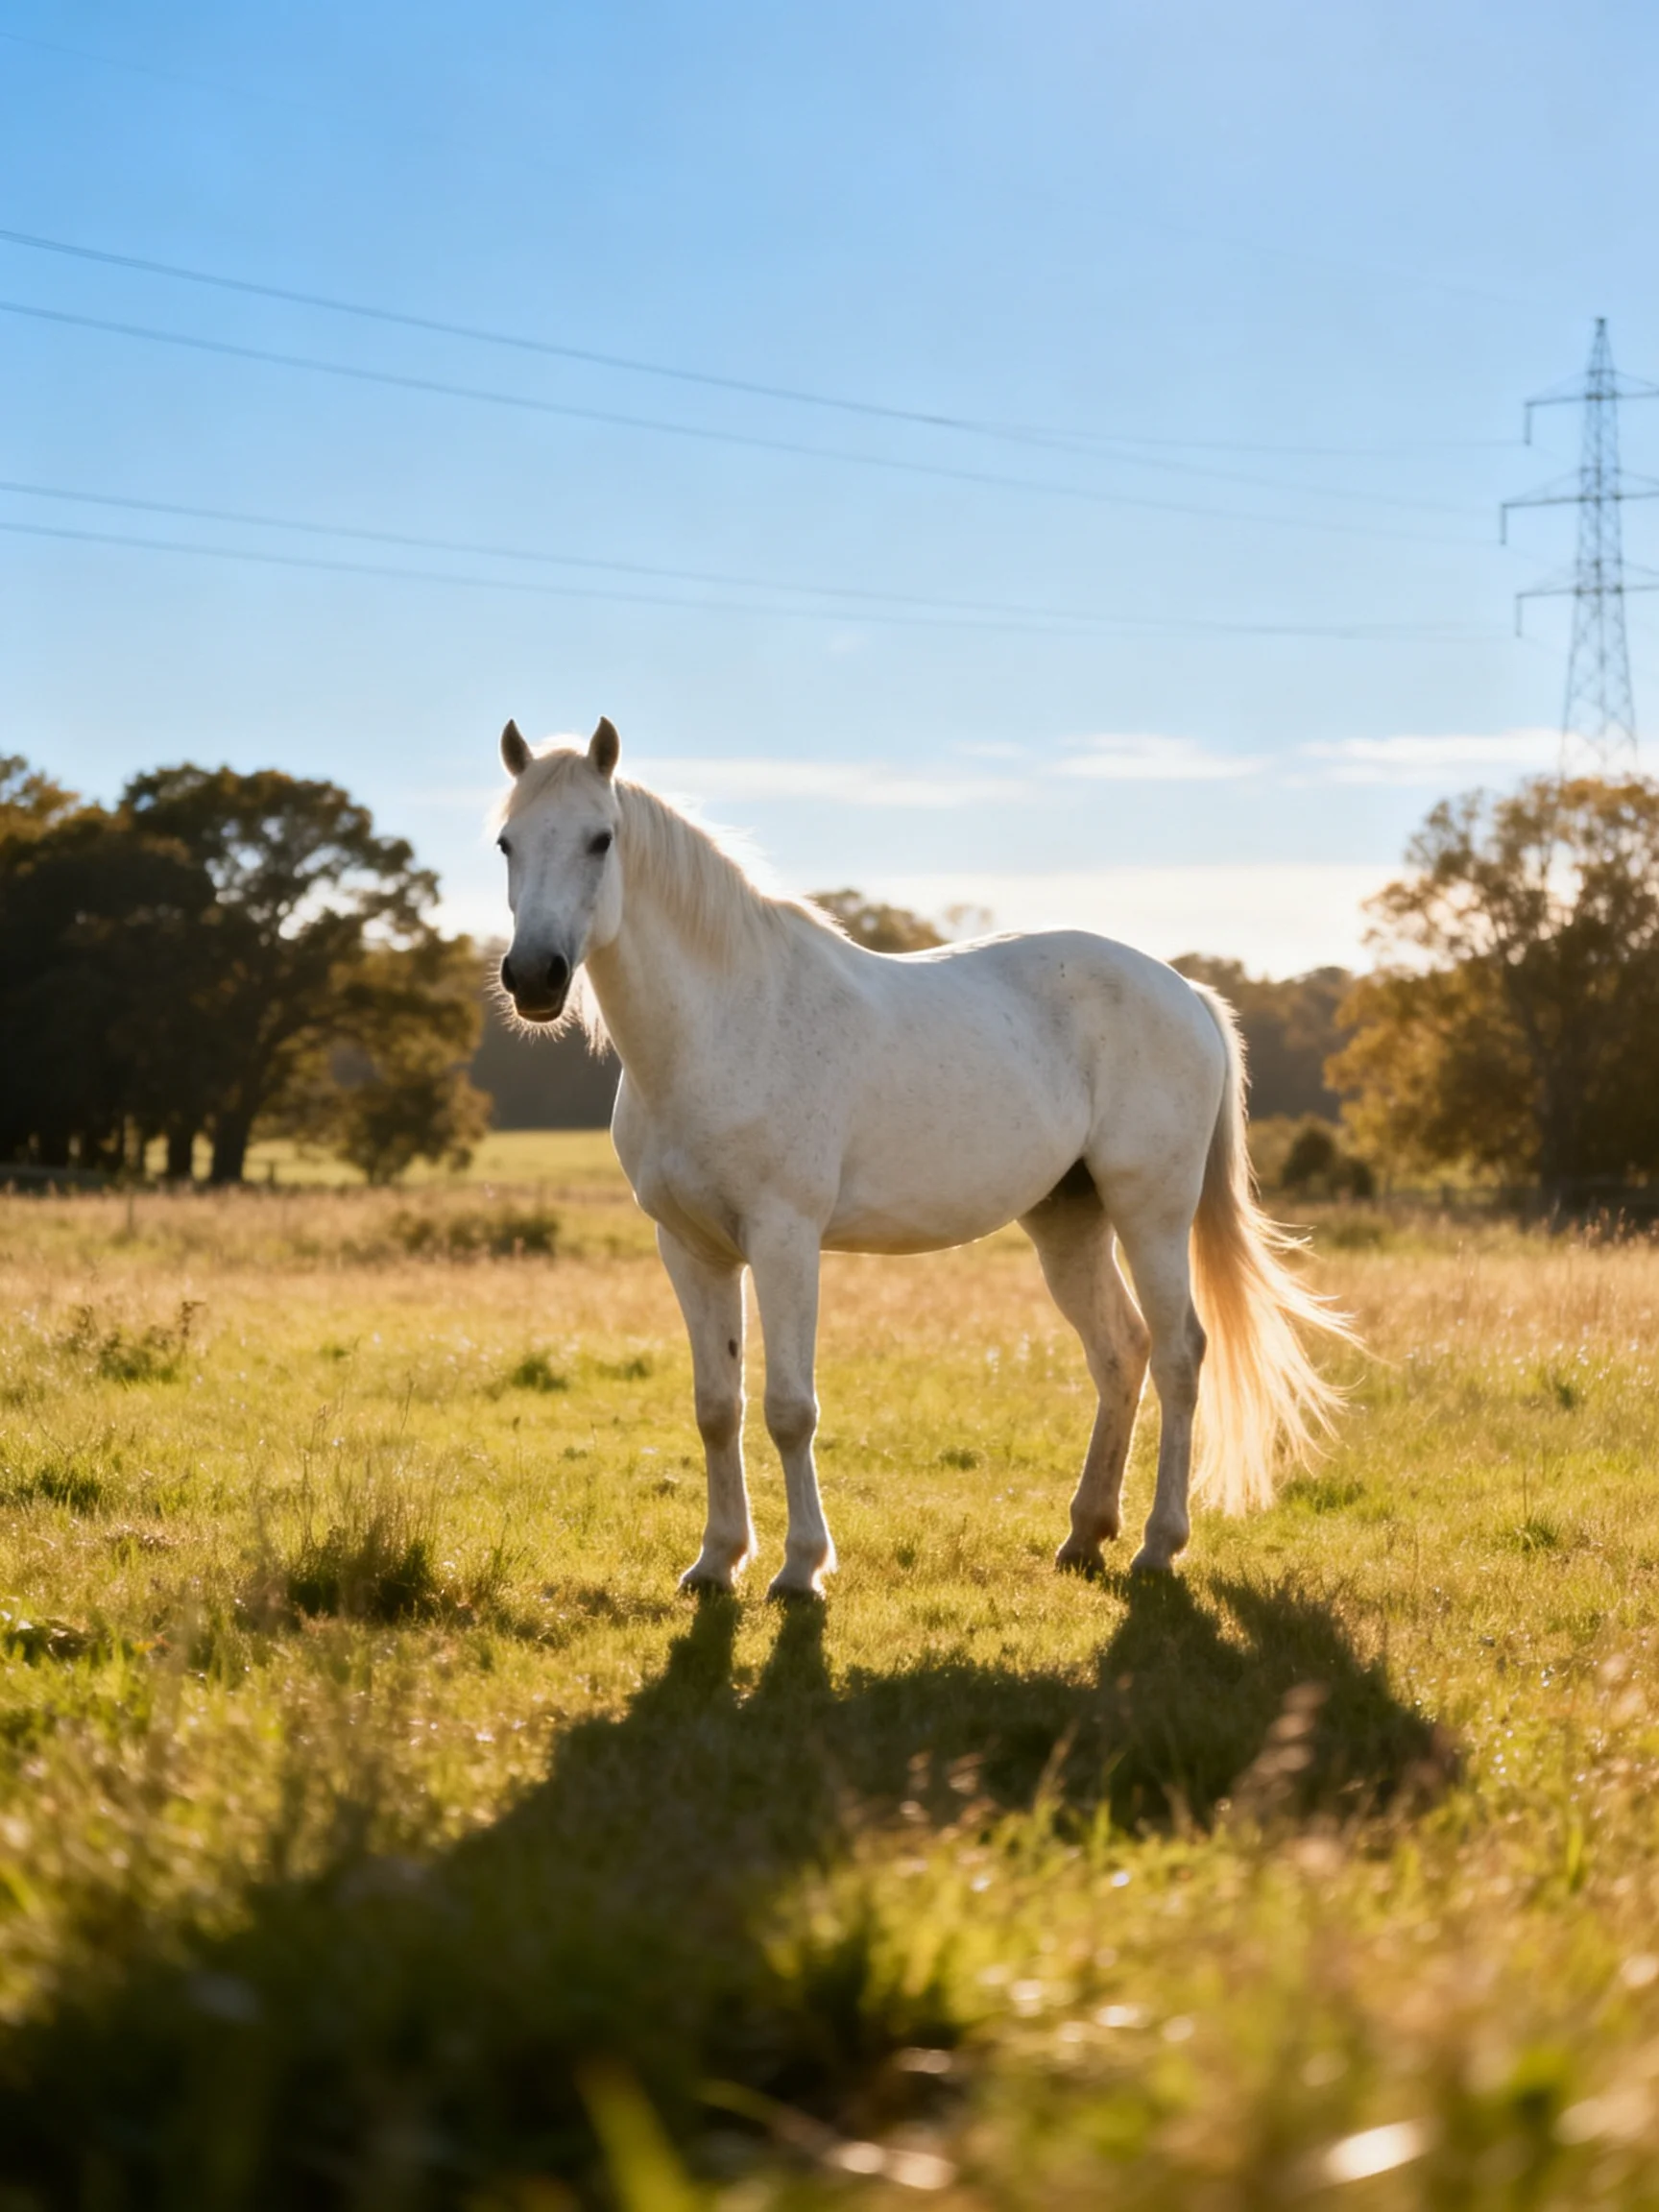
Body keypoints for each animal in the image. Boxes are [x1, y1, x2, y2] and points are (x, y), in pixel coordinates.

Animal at [494, 715, 1351, 1598]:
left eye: (601, 839)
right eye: (506, 843)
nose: (533, 978)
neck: (723, 1022)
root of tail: (1187, 991)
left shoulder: (785, 1240)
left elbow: (789, 1409)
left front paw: (800, 1570)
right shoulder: (692, 1250)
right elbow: (717, 1406)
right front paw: (716, 1561)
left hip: (1151, 1214)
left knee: (1180, 1355)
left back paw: (1157, 1544)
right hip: (1068, 1221)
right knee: (1121, 1352)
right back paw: (1085, 1536)